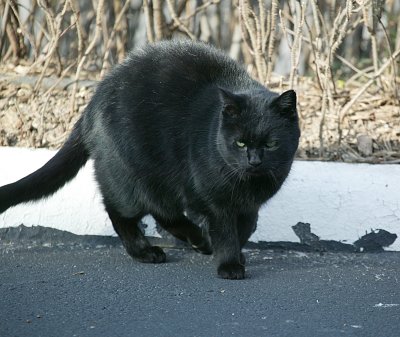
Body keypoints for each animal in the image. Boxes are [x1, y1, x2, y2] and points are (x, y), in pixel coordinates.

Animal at [0, 40, 300, 278]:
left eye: (271, 144)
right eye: (240, 143)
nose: (254, 161)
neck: (248, 185)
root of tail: (93, 101)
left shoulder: (248, 206)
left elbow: (246, 228)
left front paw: (237, 254)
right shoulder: (215, 201)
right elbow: (226, 232)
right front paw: (229, 264)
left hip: (158, 182)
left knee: (162, 212)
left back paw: (197, 242)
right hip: (132, 176)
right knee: (122, 211)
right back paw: (149, 251)